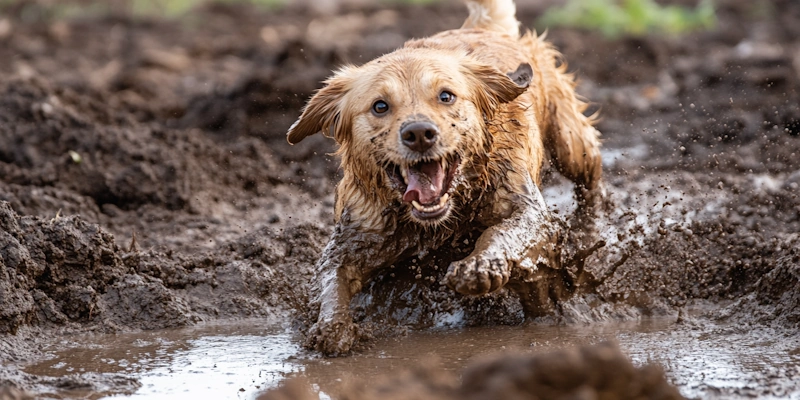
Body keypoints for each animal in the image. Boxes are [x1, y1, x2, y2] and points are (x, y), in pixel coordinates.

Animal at [286, 0, 600, 356]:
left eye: (446, 96)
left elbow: (505, 231)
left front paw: (480, 265)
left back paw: (587, 228)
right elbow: (332, 277)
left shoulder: (523, 204)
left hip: (571, 143)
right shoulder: (357, 235)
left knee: (591, 180)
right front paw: (333, 326)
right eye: (380, 106)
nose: (419, 133)